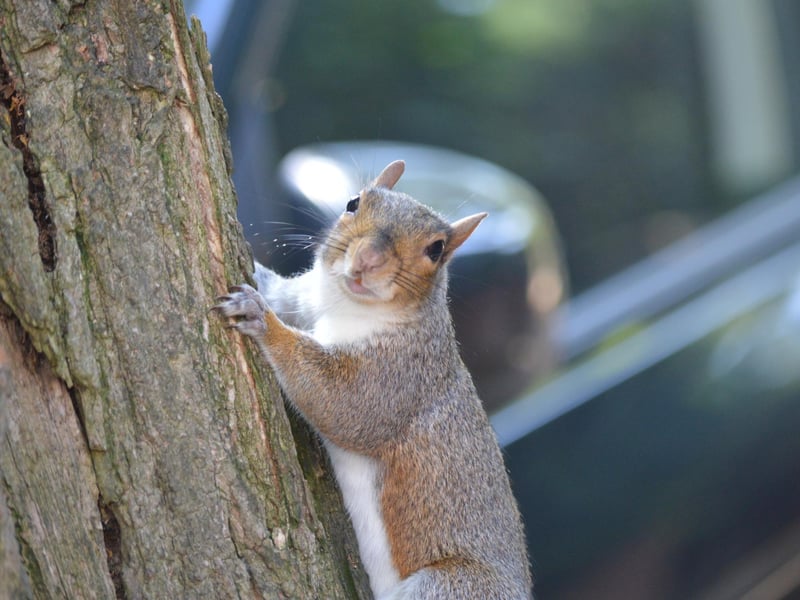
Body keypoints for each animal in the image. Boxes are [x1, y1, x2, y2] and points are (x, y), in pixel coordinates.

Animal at [214, 160, 532, 599]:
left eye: (436, 249)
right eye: (353, 203)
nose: (368, 259)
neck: (343, 305)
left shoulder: (399, 375)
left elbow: (344, 405)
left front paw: (262, 320)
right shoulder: (305, 301)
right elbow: (283, 294)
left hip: (448, 586)